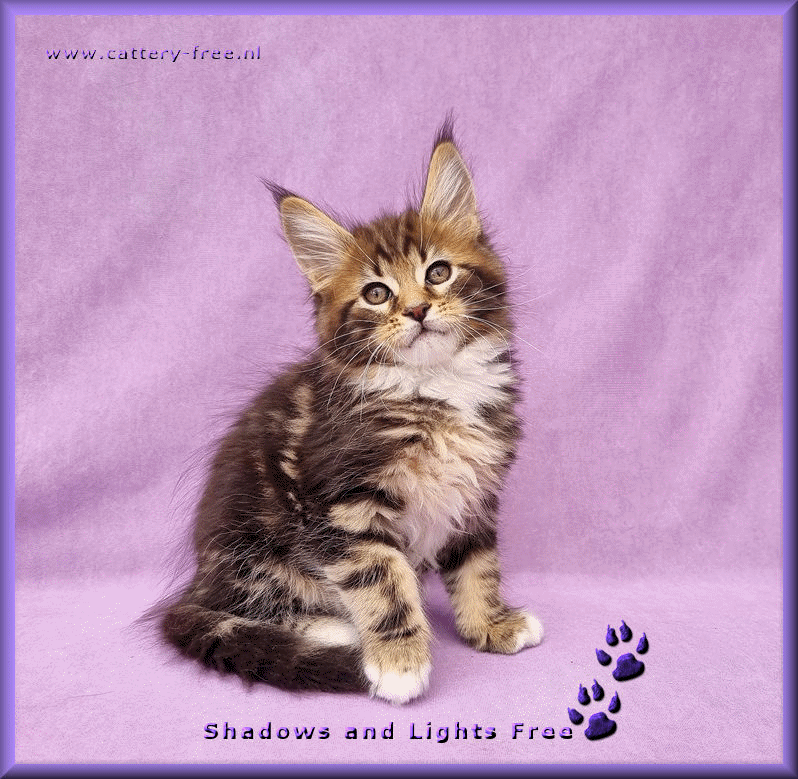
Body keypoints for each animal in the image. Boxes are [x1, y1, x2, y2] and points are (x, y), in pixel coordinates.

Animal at [159, 120, 543, 704]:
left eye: (438, 272)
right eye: (377, 293)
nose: (417, 309)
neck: (434, 390)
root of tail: (199, 579)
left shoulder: (475, 494)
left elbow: (478, 566)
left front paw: (491, 625)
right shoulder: (343, 506)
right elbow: (383, 581)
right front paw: (399, 662)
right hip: (254, 544)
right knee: (249, 607)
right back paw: (336, 630)